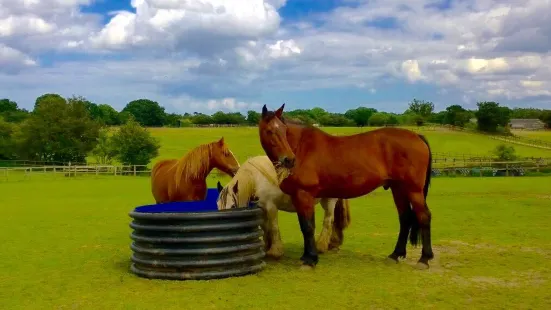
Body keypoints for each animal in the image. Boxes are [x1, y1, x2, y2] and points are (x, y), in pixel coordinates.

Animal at [215, 155, 350, 260]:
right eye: (218, 206)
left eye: (232, 206)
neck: (257, 179)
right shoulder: (261, 208)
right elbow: (265, 228)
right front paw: (267, 246)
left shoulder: (271, 207)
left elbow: (274, 227)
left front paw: (275, 251)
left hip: (329, 200)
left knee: (328, 220)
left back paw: (321, 246)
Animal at [258, 104, 436, 268]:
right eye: (269, 131)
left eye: (284, 130)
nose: (289, 160)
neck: (302, 147)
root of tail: (417, 136)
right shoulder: (298, 196)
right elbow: (304, 225)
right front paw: (306, 256)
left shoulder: (304, 195)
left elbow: (308, 227)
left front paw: (310, 259)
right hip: (398, 189)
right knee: (405, 218)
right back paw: (395, 254)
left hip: (413, 190)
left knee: (424, 216)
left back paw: (424, 259)